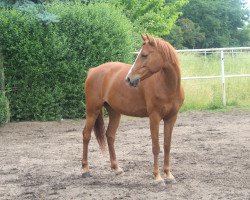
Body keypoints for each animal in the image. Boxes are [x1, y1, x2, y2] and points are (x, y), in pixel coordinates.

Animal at [81, 34, 184, 183]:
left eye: (144, 55)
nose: (129, 79)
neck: (167, 86)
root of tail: (92, 71)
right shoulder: (154, 117)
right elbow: (156, 147)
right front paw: (158, 177)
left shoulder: (171, 118)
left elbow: (167, 146)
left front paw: (168, 175)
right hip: (92, 111)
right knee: (86, 135)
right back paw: (85, 170)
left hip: (114, 112)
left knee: (110, 135)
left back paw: (116, 168)